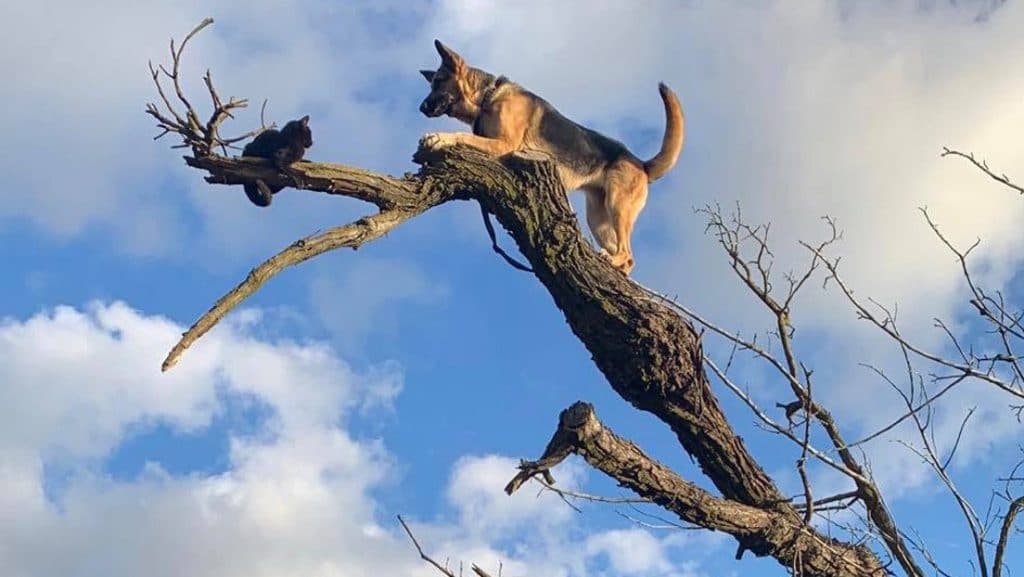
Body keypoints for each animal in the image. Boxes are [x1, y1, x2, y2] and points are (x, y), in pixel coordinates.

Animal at [419, 40, 684, 274]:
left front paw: (438, 138)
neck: (487, 96)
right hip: (598, 218)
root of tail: (641, 164)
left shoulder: (503, 144)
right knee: (626, 258)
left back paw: (614, 261)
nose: (422, 108)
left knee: (628, 254)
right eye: (432, 83)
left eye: (439, 81)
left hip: (617, 205)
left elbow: (462, 135)